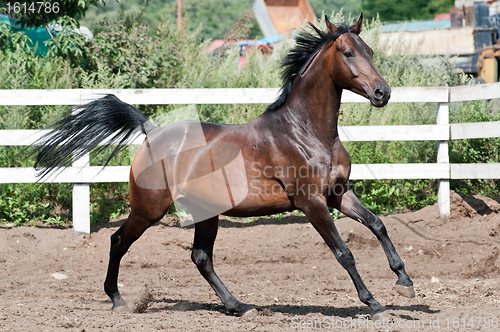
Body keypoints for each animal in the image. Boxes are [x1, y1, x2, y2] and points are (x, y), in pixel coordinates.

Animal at [32, 14, 414, 322]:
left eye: (371, 52)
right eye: (348, 53)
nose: (382, 93)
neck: (306, 132)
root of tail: (151, 131)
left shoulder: (339, 193)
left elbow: (378, 224)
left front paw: (405, 282)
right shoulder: (312, 203)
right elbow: (344, 253)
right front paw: (374, 305)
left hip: (206, 211)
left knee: (201, 257)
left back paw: (239, 306)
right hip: (149, 209)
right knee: (118, 241)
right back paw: (117, 299)